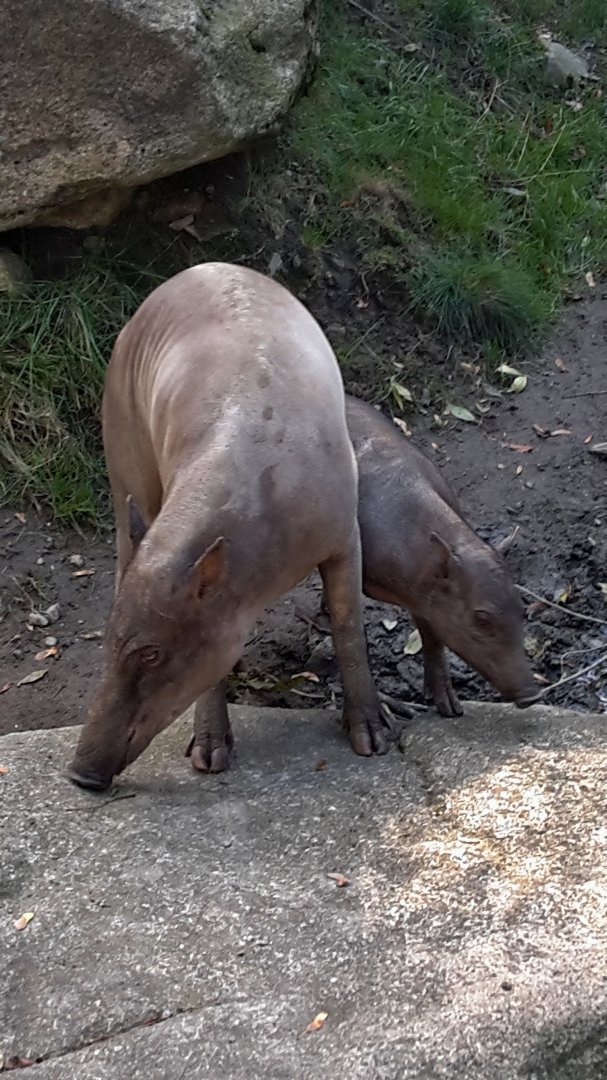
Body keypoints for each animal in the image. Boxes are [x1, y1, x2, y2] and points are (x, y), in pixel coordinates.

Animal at [67, 264, 394, 791]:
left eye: (152, 655)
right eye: (108, 641)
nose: (79, 775)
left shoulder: (344, 531)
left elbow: (349, 625)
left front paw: (373, 740)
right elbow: (210, 672)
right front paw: (208, 758)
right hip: (121, 448)